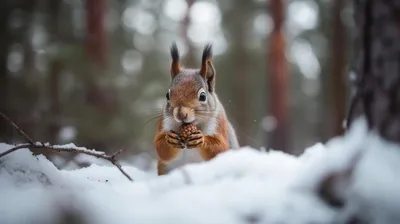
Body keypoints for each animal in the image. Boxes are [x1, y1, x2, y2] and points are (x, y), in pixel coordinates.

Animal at [155, 42, 239, 175]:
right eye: (167, 95)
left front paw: (201, 139)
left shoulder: (219, 124)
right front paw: (170, 139)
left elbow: (220, 148)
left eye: (203, 96)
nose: (180, 114)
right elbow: (160, 148)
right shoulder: (163, 122)